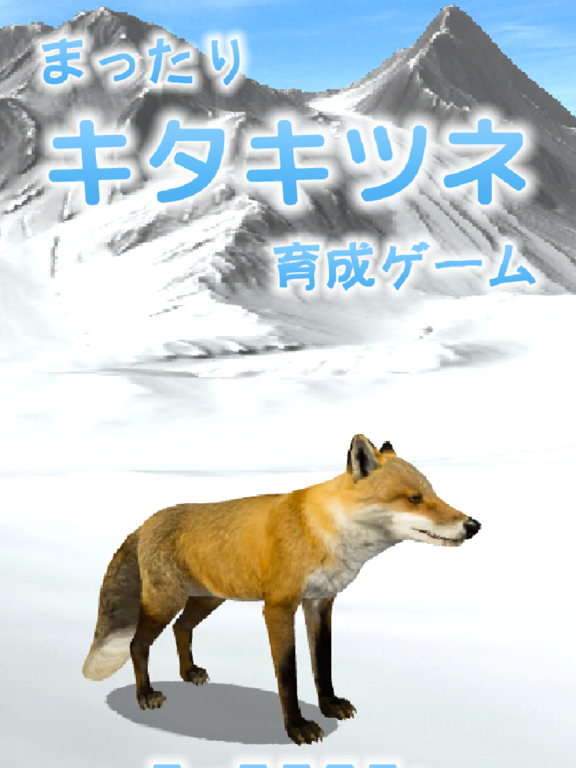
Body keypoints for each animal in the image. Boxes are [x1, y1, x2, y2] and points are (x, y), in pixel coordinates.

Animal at [83, 435, 480, 745]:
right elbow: (288, 674)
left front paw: (329, 705)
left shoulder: (320, 603)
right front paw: (297, 726)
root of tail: (146, 521)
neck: (325, 530)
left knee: (182, 628)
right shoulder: (278, 607)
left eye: (433, 493)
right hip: (166, 601)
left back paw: (190, 672)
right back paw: (145, 694)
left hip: (208, 598)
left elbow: (323, 663)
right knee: (139, 644)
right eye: (414, 499)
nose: (474, 525)